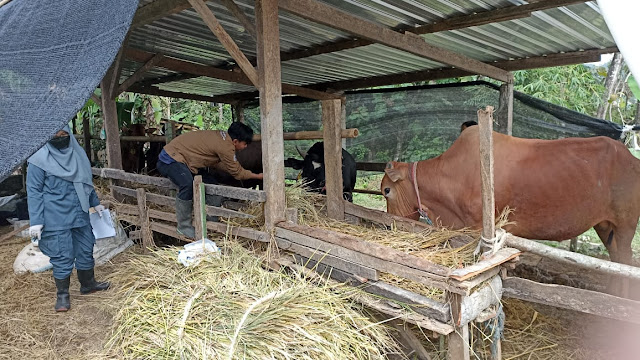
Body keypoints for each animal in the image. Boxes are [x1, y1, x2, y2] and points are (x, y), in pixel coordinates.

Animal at [382, 126, 636, 292]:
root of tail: (632, 159)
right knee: (615, 261)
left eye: (386, 190)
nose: (389, 224)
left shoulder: (479, 228)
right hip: (605, 226)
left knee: (626, 262)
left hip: (626, 225)